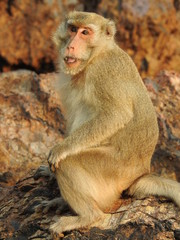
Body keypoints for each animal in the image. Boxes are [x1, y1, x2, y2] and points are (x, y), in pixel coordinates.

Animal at [45, 10, 180, 234]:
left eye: (85, 32)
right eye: (72, 29)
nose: (71, 45)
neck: (95, 57)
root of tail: (140, 174)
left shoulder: (104, 72)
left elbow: (116, 114)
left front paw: (62, 148)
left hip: (113, 171)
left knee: (69, 163)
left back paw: (88, 217)